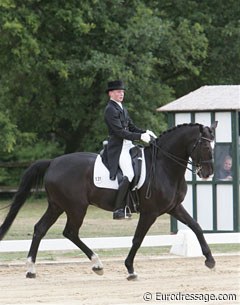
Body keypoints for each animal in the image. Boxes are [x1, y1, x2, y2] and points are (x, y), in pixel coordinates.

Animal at [0, 122, 218, 280]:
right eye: (205, 145)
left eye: (214, 145)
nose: (207, 173)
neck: (163, 166)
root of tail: (53, 162)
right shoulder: (150, 212)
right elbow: (138, 239)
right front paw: (130, 269)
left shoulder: (174, 207)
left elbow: (196, 227)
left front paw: (210, 260)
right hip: (76, 207)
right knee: (70, 232)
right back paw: (97, 264)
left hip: (57, 206)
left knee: (40, 229)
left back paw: (31, 269)